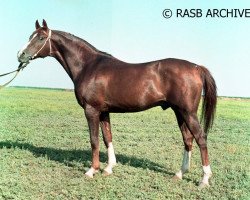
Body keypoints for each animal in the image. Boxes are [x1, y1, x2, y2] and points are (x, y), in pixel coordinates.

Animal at [18, 20, 217, 188]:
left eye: (41, 38)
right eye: (30, 36)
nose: (21, 55)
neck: (88, 66)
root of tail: (196, 67)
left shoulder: (91, 110)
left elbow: (94, 140)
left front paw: (92, 170)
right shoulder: (104, 112)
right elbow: (107, 137)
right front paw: (108, 168)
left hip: (188, 112)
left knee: (201, 138)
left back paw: (204, 179)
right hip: (179, 112)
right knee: (188, 139)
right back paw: (180, 173)